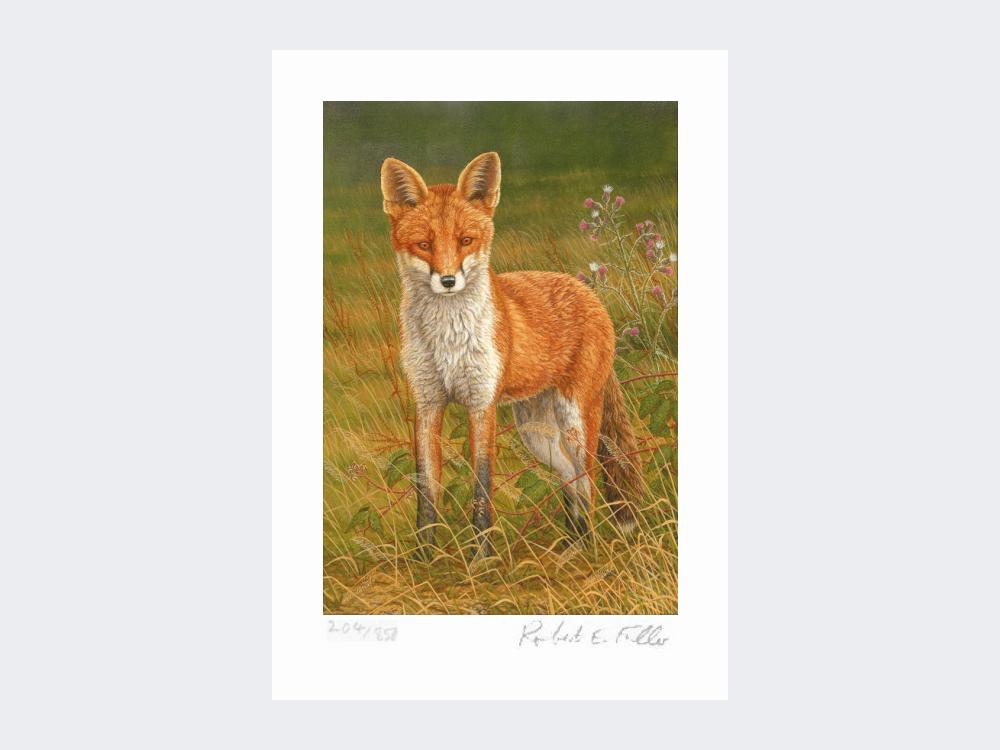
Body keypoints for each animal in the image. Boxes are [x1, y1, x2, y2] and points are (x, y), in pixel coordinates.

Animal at [380, 151, 643, 560]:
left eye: (466, 240)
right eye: (424, 244)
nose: (448, 281)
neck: (447, 340)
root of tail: (587, 292)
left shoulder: (481, 404)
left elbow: (482, 485)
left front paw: (480, 559)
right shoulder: (426, 404)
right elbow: (426, 490)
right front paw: (424, 558)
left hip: (575, 421)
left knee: (588, 481)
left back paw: (588, 549)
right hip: (537, 432)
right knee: (570, 478)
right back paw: (572, 544)